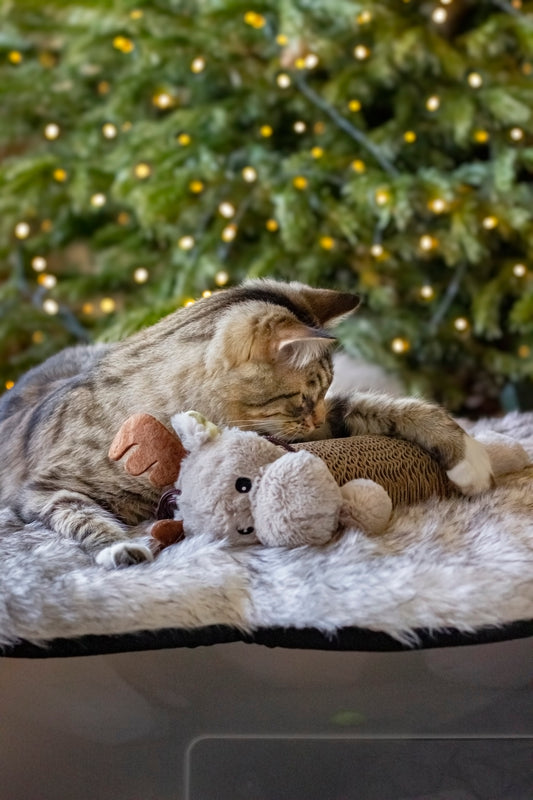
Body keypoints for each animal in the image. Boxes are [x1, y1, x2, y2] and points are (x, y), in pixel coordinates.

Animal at [0, 278, 490, 564]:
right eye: (303, 396)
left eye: (323, 391)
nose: (313, 422)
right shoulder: (44, 490)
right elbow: (81, 515)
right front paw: (121, 546)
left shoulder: (328, 422)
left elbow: (389, 407)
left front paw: (469, 456)